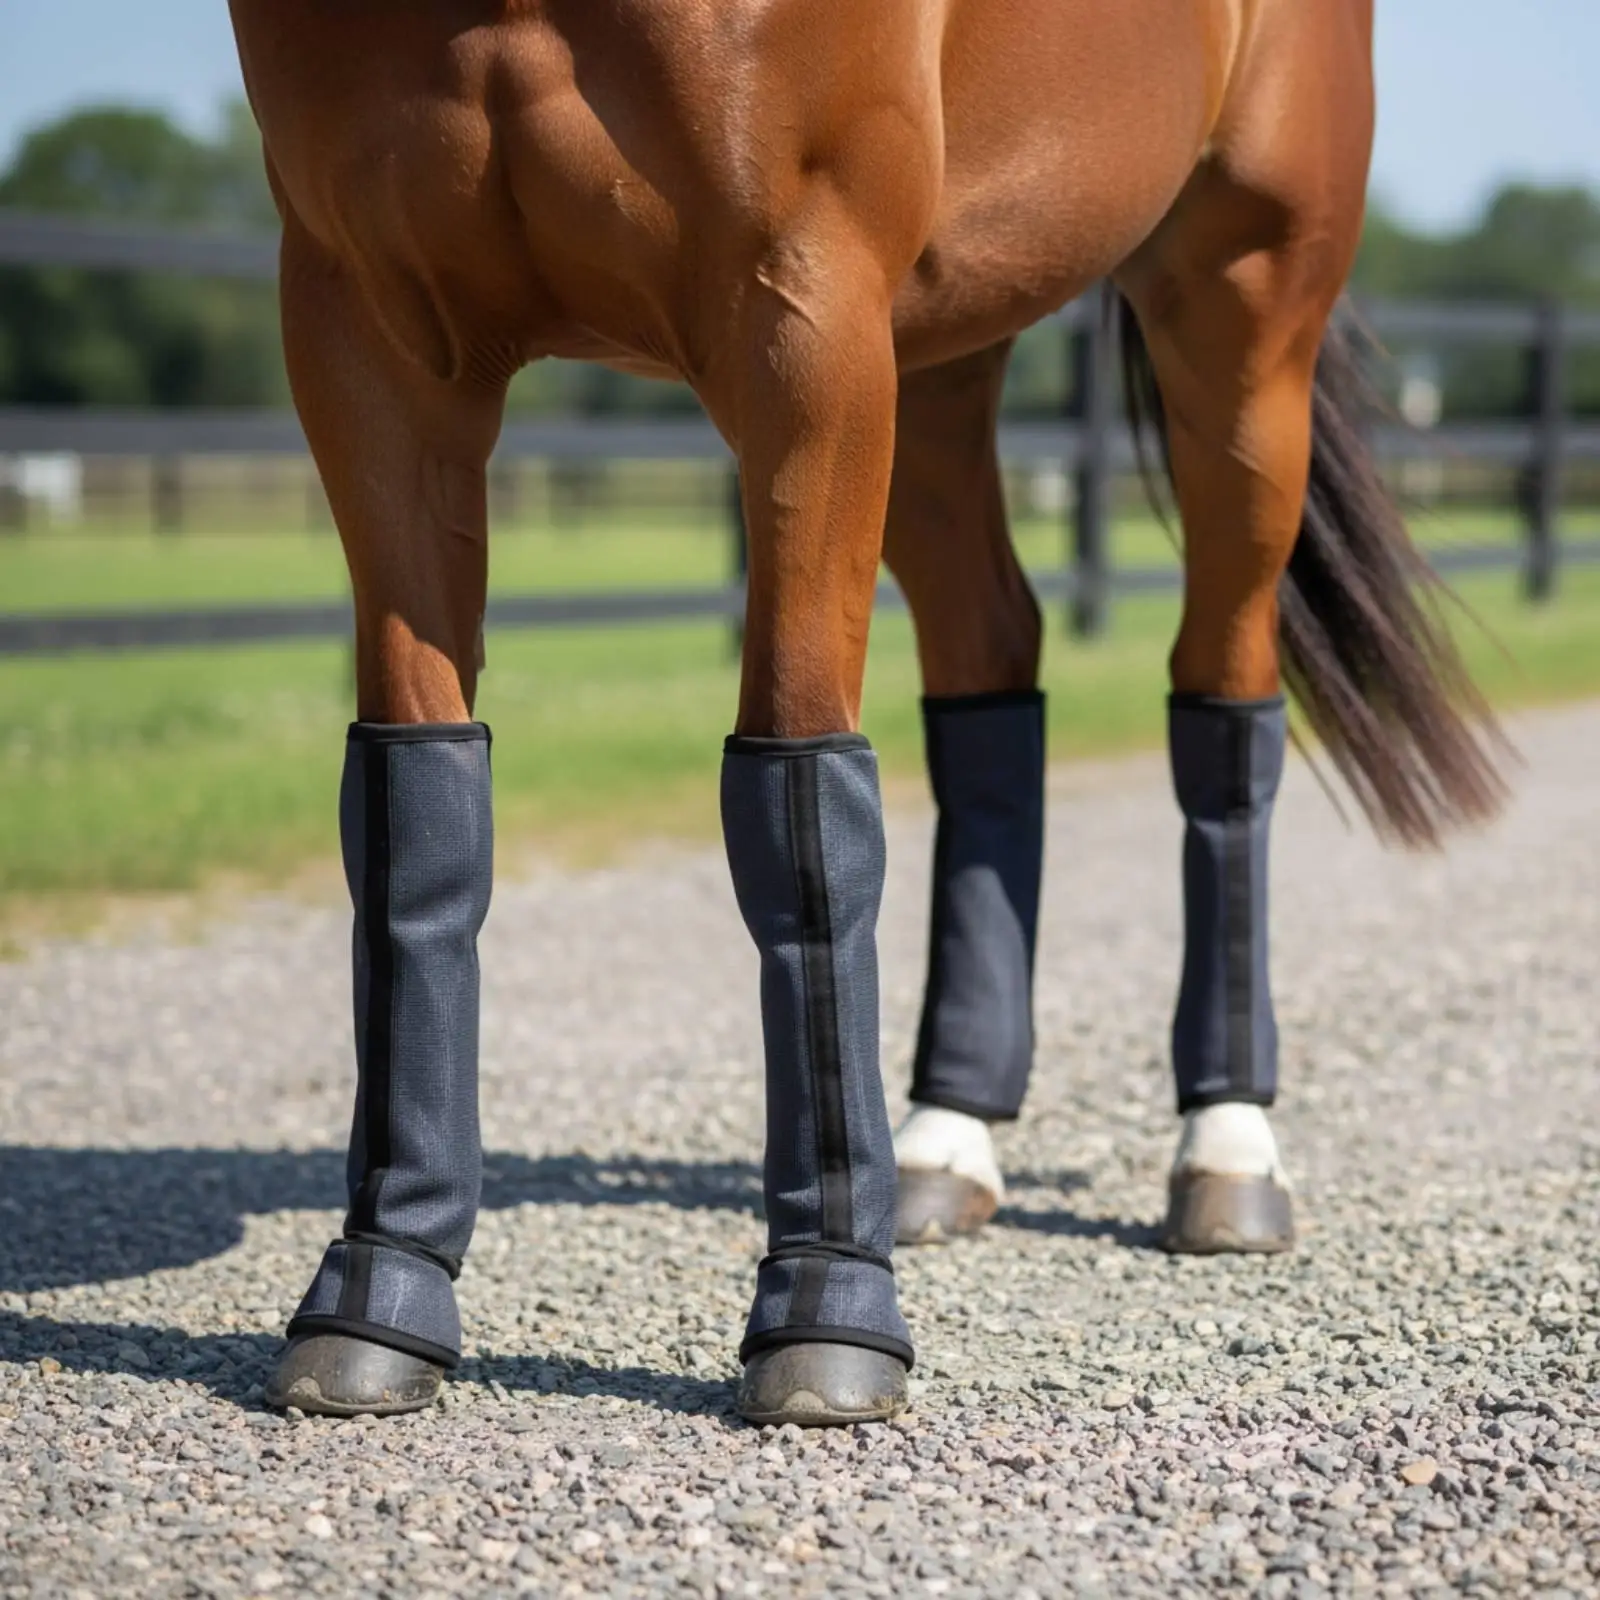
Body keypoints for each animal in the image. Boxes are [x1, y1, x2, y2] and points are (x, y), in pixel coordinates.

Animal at [227, 0, 1505, 1426]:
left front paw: (828, 1313)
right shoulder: (367, 337)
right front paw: (379, 1292)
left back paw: (1226, 1149)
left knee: (1223, 706)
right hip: (943, 343)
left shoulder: (804, 317)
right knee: (991, 666)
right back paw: (949, 1139)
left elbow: (796, 796)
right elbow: (415, 815)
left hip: (1237, 323)